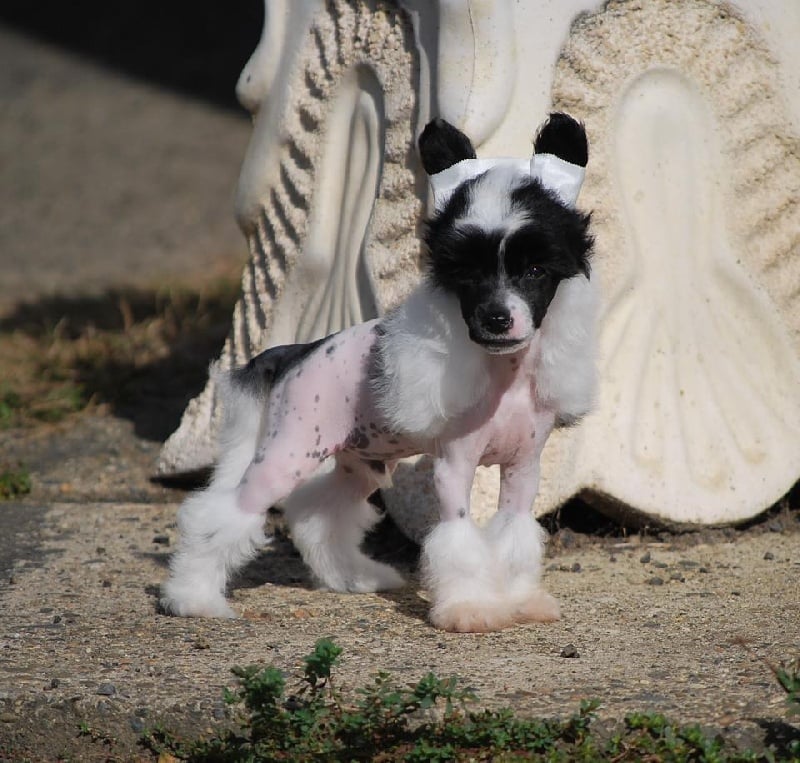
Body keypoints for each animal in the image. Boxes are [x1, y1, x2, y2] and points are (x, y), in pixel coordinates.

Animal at [162, 113, 596, 636]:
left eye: (535, 270)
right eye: (466, 274)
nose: (496, 319)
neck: (505, 378)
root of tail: (294, 354)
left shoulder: (523, 468)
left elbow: (513, 535)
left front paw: (519, 600)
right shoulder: (455, 467)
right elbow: (457, 538)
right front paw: (470, 607)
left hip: (357, 463)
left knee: (319, 516)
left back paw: (351, 578)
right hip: (284, 458)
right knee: (224, 514)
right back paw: (193, 597)